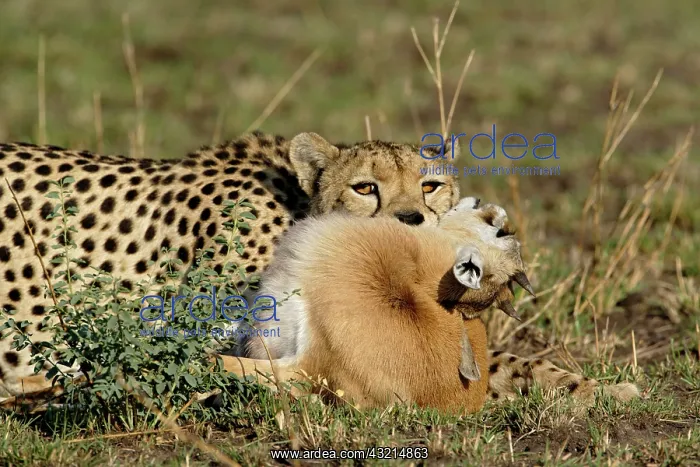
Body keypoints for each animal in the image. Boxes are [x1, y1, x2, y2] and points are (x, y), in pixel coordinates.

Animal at [0, 131, 638, 411]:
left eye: (430, 185)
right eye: (366, 187)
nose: (411, 217)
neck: (296, 205)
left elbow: (505, 361)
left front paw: (595, 386)